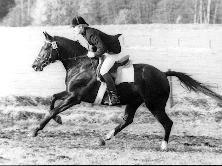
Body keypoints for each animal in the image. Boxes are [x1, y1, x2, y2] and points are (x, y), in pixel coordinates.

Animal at [31, 31, 222, 150]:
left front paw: (36, 129)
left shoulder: (75, 97)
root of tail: (162, 73)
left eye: (45, 48)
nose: (34, 65)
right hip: (134, 102)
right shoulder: (70, 93)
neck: (79, 64)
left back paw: (163, 146)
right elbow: (53, 98)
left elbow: (53, 109)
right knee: (127, 120)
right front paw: (57, 119)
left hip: (154, 105)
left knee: (167, 123)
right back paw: (105, 138)